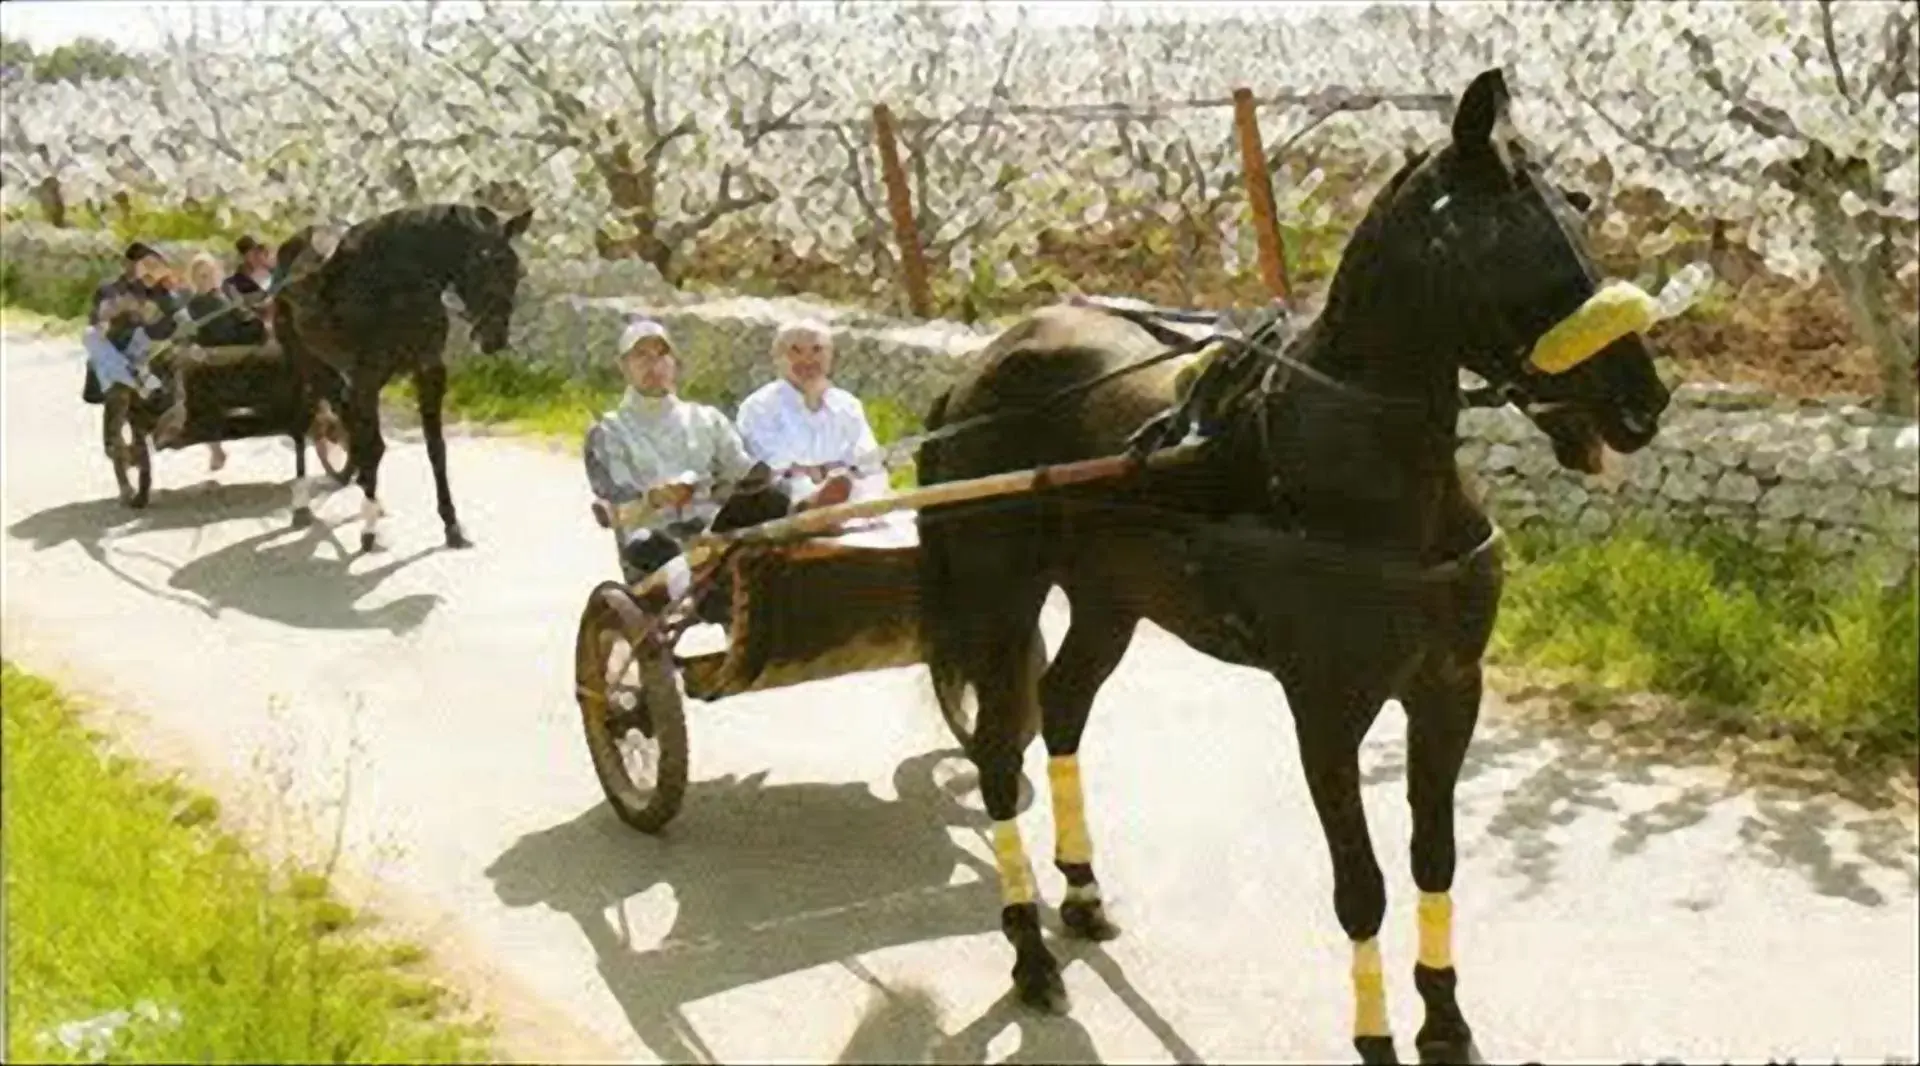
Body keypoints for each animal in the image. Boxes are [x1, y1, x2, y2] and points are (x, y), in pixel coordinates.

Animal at [272, 202, 533, 549]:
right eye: (482, 262)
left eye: (516, 270)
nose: (493, 339)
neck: (397, 285)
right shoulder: (366, 377)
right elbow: (374, 446)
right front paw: (368, 529)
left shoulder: (429, 370)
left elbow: (435, 448)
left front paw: (451, 524)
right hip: (303, 362)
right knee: (303, 424)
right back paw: (302, 504)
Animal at [917, 71, 1681, 1060]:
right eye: (1502, 236)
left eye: (1578, 208)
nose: (1641, 402)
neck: (1371, 479)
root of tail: (981, 367)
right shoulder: (1326, 707)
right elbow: (1362, 886)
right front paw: (1378, 1037)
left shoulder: (1448, 686)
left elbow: (1434, 860)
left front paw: (1445, 1022)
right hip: (1002, 600)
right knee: (1000, 758)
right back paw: (1030, 956)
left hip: (1110, 599)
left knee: (1064, 710)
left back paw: (1079, 894)